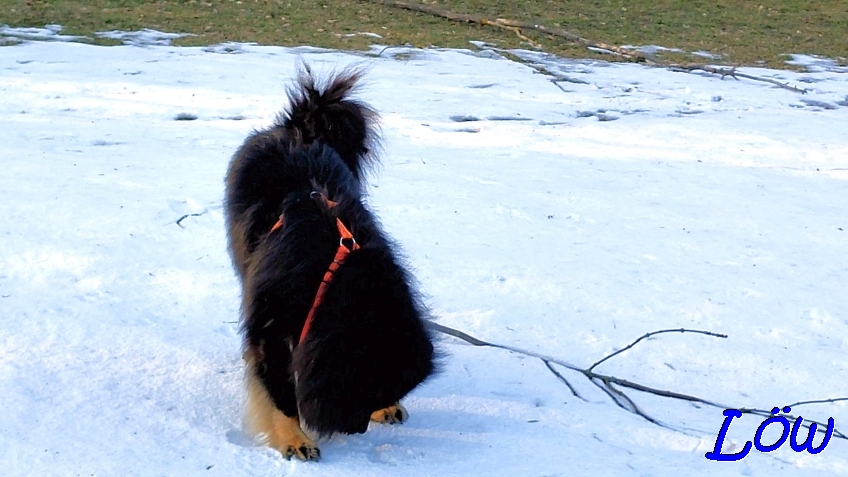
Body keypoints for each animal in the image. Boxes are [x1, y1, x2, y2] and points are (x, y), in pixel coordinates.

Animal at [224, 65, 434, 460]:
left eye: (379, 391)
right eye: (361, 388)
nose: (358, 430)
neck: (328, 274)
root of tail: (299, 129)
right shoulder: (270, 329)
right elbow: (280, 394)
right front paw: (294, 439)